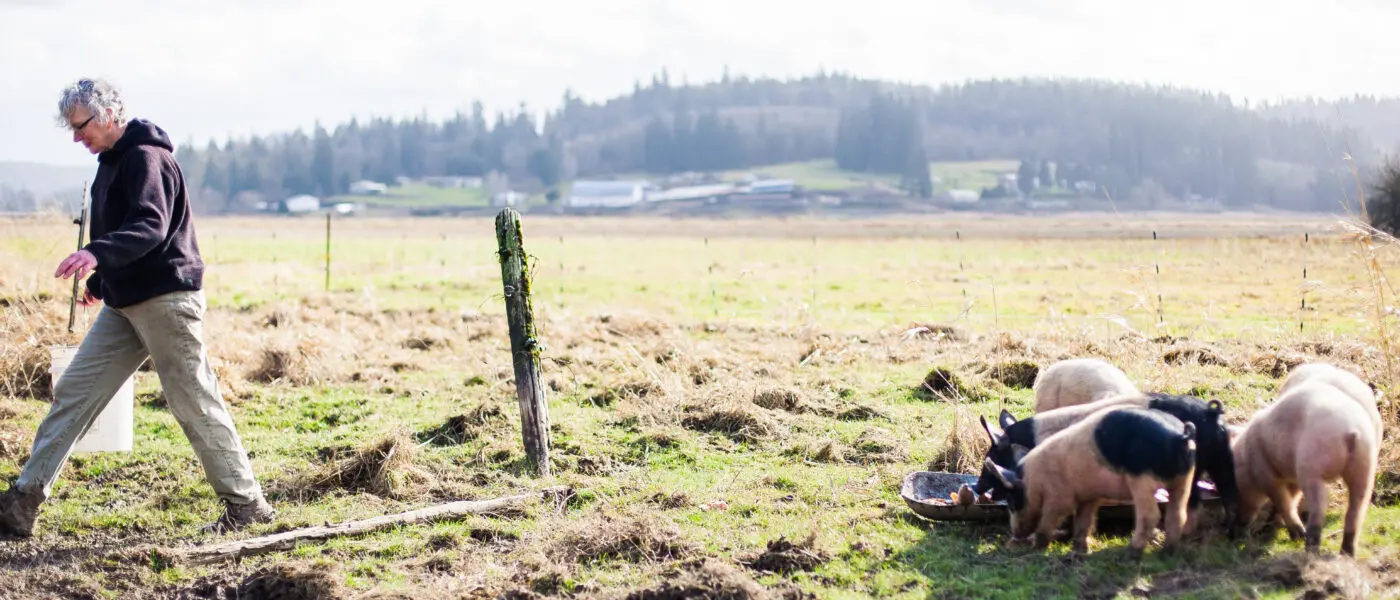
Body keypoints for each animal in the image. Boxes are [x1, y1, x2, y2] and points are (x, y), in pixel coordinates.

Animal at [983, 405, 1198, 558]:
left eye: (1011, 501)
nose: (1016, 534)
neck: (1034, 479)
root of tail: (1179, 436)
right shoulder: (1089, 496)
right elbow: (1084, 521)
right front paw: (1080, 550)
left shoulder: (1060, 496)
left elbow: (1051, 517)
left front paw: (1039, 545)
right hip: (1185, 478)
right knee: (1178, 514)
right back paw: (1167, 552)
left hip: (1142, 480)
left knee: (1150, 517)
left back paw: (1130, 554)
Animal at [1230, 380, 1380, 556]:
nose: (1231, 535)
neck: (1247, 463)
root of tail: (1351, 432)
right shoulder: (1290, 476)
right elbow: (1292, 498)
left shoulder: (1266, 474)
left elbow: (1282, 500)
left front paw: (1294, 535)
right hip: (1365, 466)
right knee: (1356, 510)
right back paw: (1346, 553)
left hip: (1312, 466)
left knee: (1319, 506)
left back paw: (1310, 548)